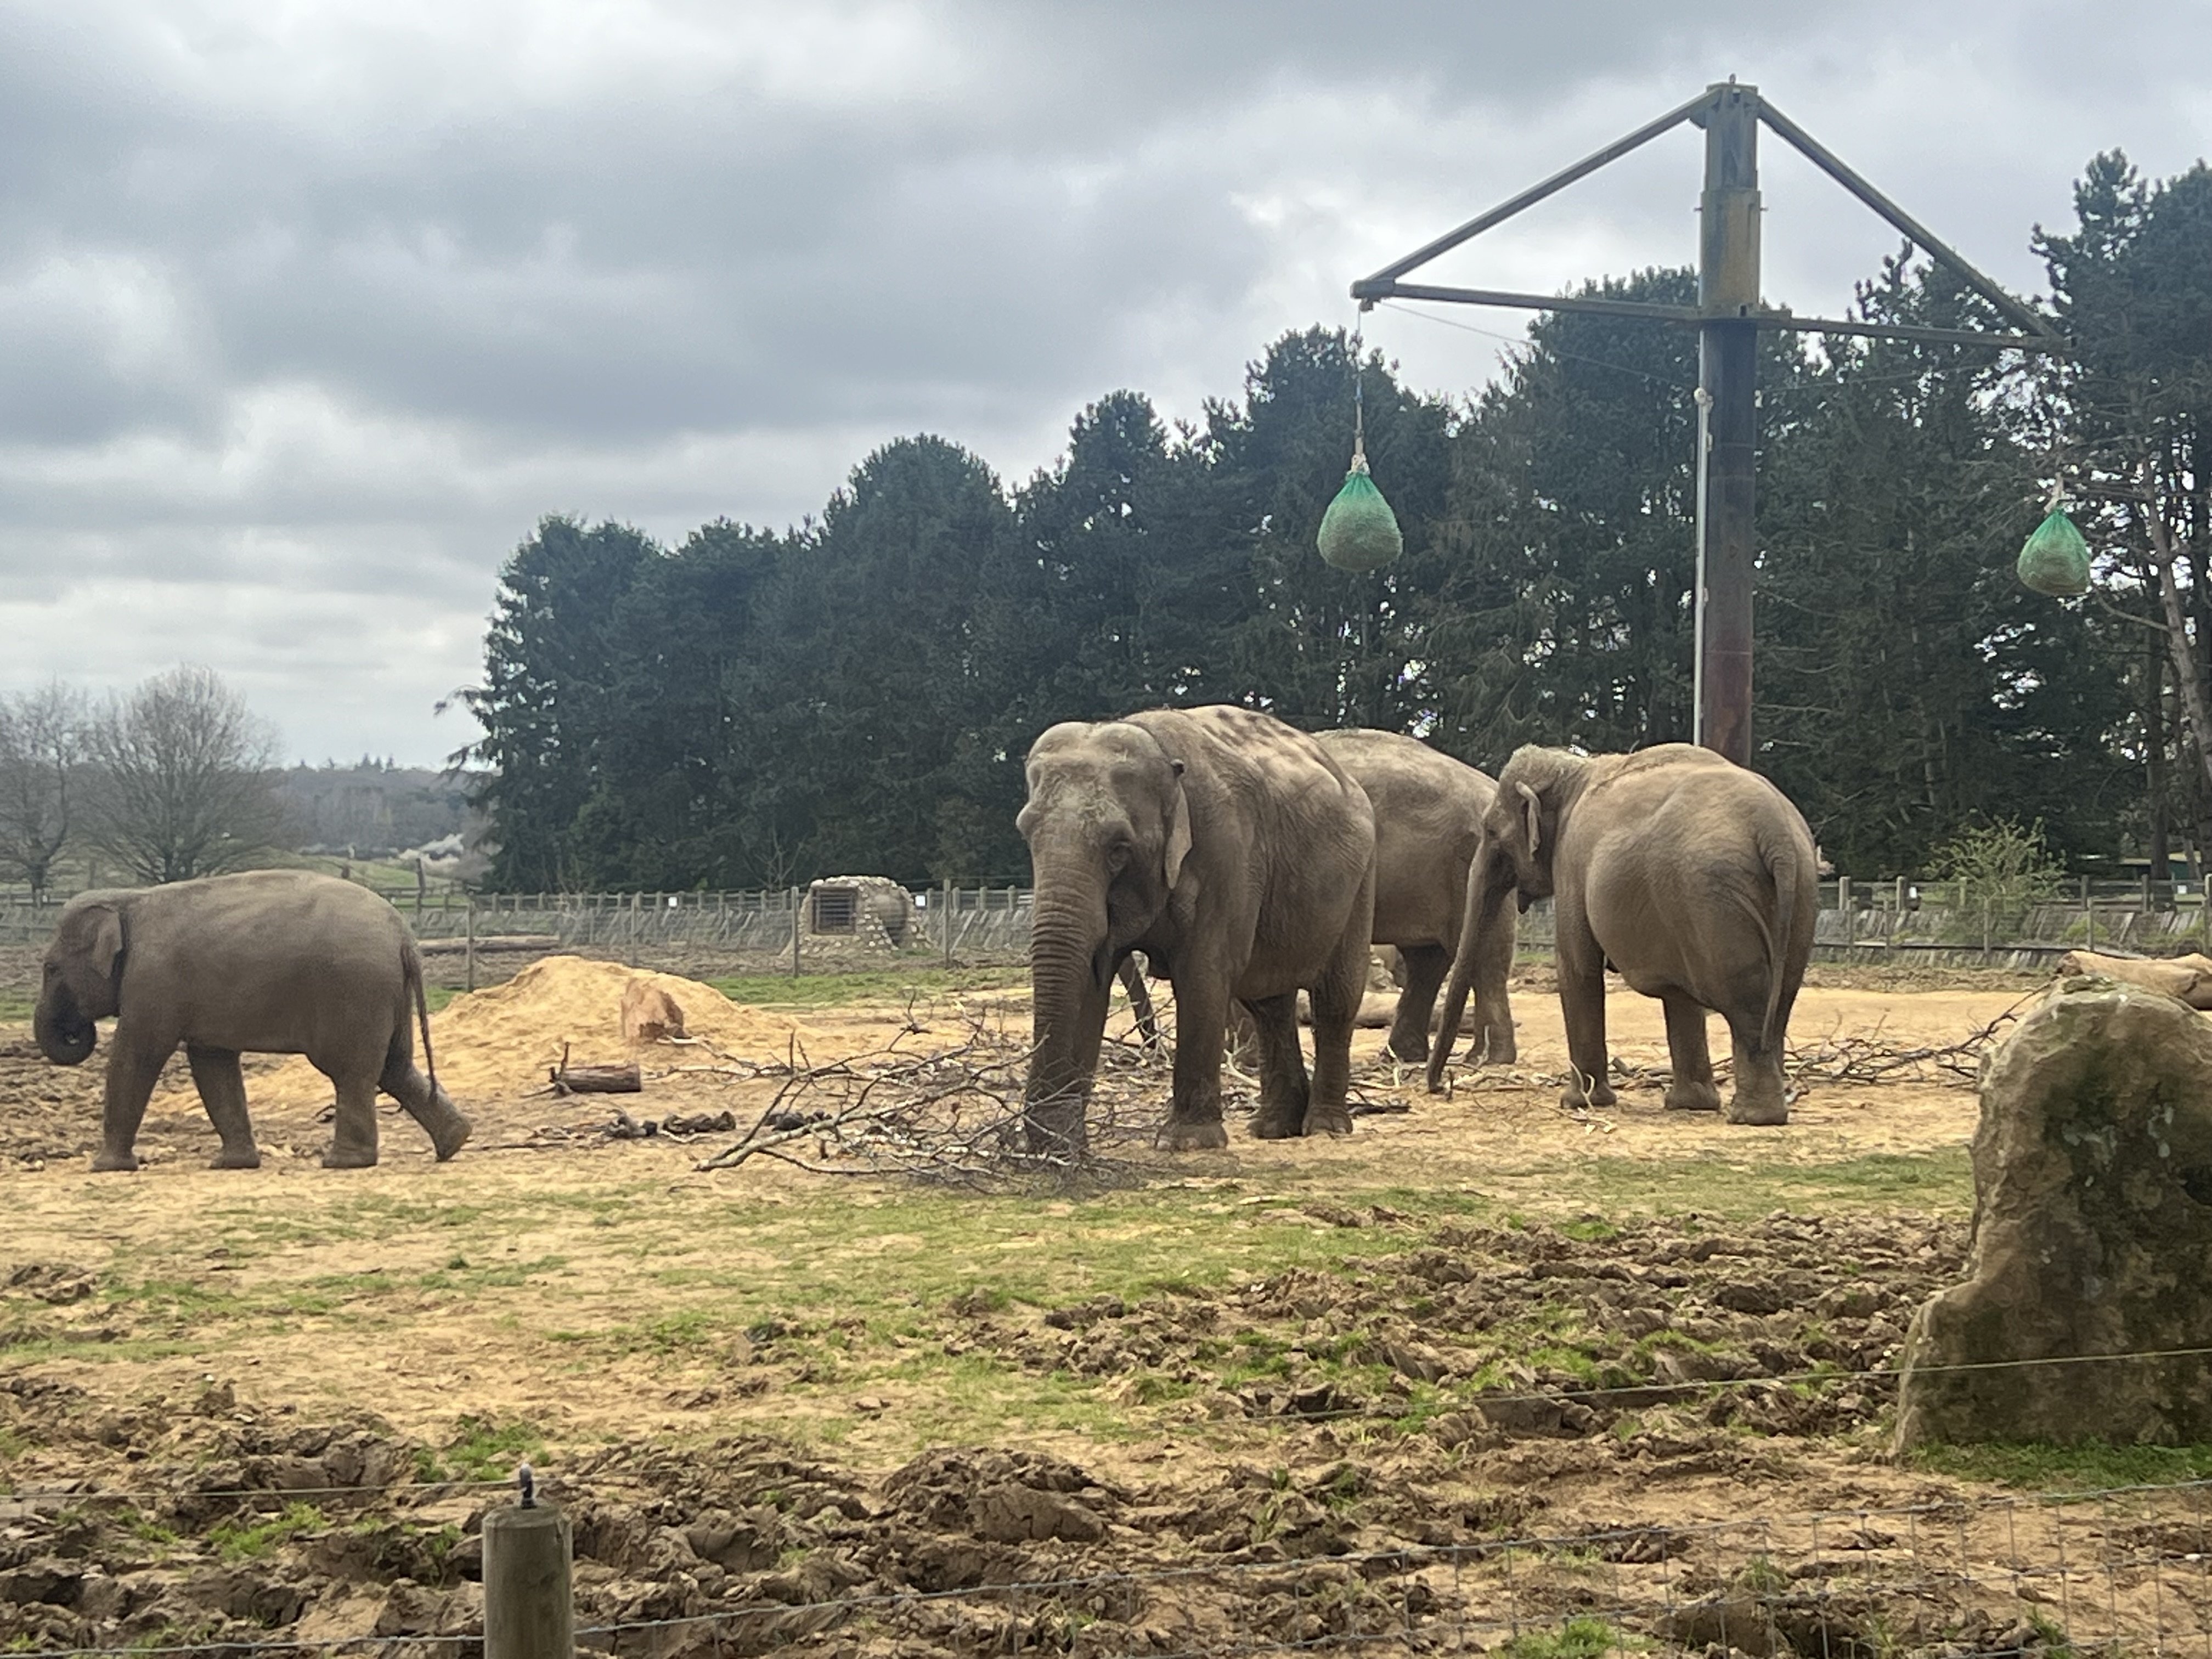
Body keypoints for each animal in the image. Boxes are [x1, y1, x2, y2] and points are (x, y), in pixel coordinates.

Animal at [35, 869, 472, 1171]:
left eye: (51, 968)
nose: (76, 1030)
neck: (129, 900)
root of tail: (403, 935)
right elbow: (212, 1064)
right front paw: (231, 1165)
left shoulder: (151, 982)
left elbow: (137, 1054)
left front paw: (105, 1168)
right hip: (384, 995)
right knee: (394, 1067)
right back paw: (454, 1142)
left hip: (353, 992)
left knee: (352, 1072)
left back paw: (343, 1163)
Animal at [1019, 705, 1377, 1154]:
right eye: (1026, 834)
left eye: (1119, 847)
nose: (1042, 1139)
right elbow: (1088, 981)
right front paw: (1060, 1146)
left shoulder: (1227, 850)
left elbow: (1203, 973)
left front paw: (1186, 1142)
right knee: (1269, 1004)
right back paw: (1274, 1127)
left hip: (1360, 884)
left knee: (1334, 999)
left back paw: (1325, 1127)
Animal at [1427, 743, 1817, 1125]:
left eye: (1492, 832)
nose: (1440, 1087)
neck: (1572, 771)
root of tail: (1775, 832)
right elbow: (1679, 995)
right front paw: (1690, 1105)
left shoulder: (1572, 862)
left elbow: (1577, 966)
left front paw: (1578, 1102)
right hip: (1793, 895)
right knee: (1779, 1000)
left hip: (1715, 900)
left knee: (1746, 1003)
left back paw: (1753, 1117)